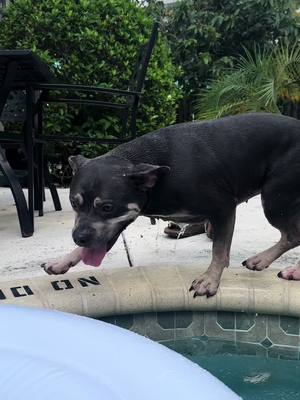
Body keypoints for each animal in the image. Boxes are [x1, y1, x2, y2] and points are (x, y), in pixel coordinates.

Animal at [41, 112, 300, 296]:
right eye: (74, 203)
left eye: (107, 207)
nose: (79, 237)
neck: (158, 179)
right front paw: (63, 261)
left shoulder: (223, 208)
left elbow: (219, 250)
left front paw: (210, 280)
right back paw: (263, 260)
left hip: (274, 199)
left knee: (292, 235)